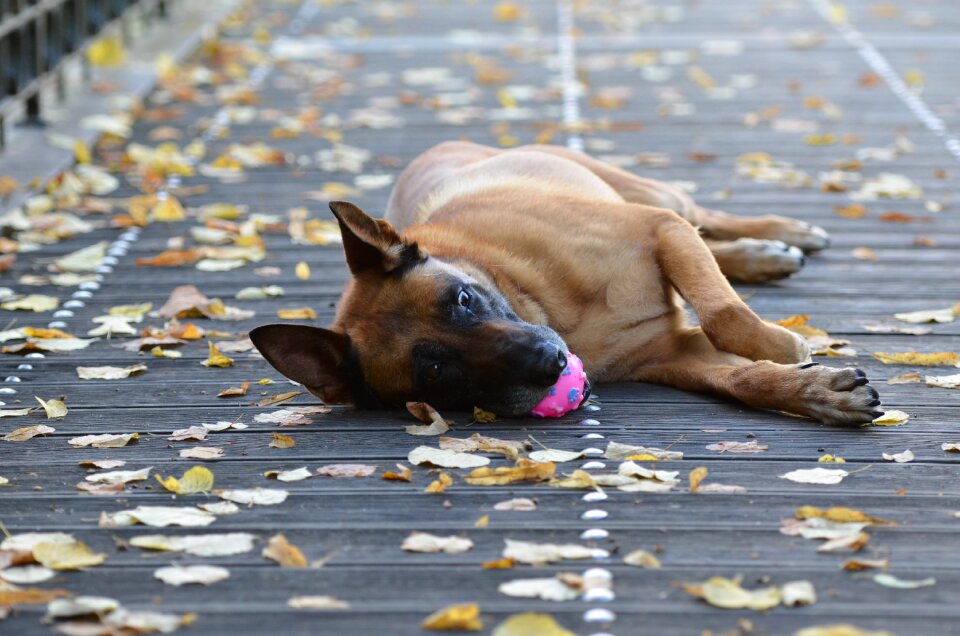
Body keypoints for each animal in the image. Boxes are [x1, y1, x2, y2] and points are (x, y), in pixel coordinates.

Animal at [249, 142, 884, 424]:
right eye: (434, 372)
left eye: (463, 299)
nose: (548, 364)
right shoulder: (674, 353)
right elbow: (742, 379)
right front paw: (814, 391)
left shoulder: (659, 229)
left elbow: (725, 314)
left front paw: (781, 345)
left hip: (657, 198)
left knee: (706, 218)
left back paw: (777, 237)